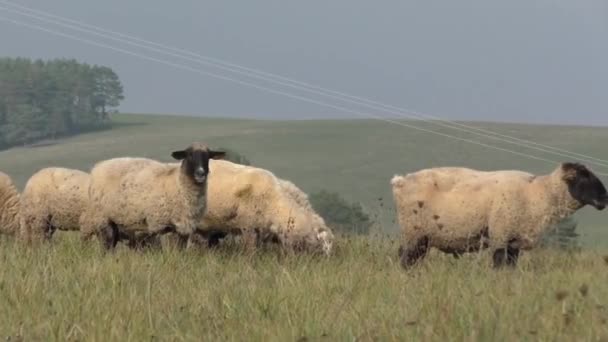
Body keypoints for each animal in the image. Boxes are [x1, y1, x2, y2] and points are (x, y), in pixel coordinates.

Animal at [79, 143, 224, 250]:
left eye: (208, 156)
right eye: (189, 155)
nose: (201, 173)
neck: (178, 183)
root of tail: (97, 167)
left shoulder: (184, 228)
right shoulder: (160, 224)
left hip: (115, 221)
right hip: (103, 217)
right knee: (107, 245)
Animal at [392, 162, 604, 268]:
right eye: (583, 177)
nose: (605, 198)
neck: (539, 194)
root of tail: (401, 182)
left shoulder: (513, 242)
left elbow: (510, 267)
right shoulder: (501, 236)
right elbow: (499, 264)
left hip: (422, 237)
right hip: (413, 232)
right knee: (405, 259)